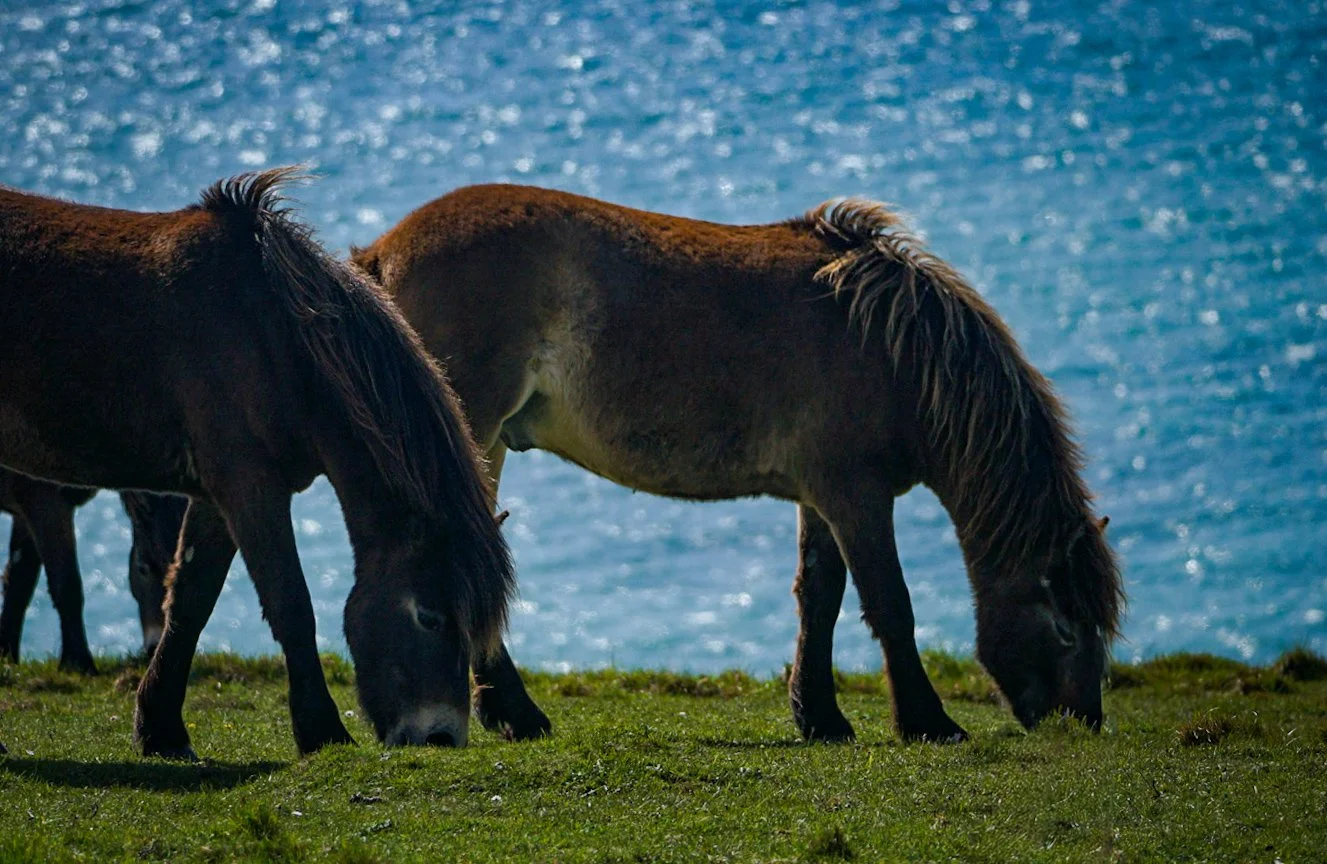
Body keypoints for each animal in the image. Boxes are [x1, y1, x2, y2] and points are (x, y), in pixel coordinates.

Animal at [0, 469, 187, 671]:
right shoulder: (44, 500)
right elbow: (67, 585)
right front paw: (78, 663)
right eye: (142, 568)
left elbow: (19, 583)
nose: (155, 647)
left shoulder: (24, 512)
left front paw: (7, 656)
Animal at [352, 185, 1124, 743]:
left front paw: (821, 718)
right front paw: (927, 722)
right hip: (473, 435)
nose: (1082, 721)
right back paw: (517, 714)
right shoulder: (857, 497)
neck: (890, 348)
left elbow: (820, 598)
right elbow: (889, 604)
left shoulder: (820, 497)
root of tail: (382, 252)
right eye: (1064, 628)